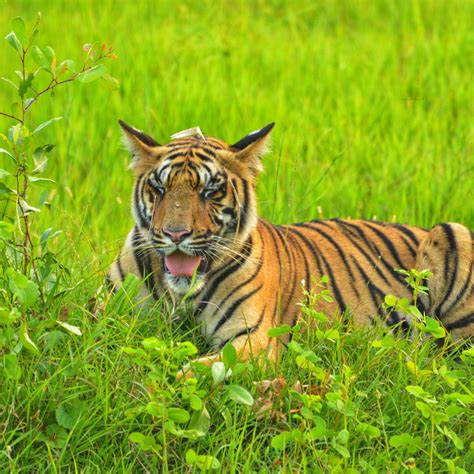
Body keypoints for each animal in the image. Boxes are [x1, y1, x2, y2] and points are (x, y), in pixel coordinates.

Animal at [108, 120, 474, 368]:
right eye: (159, 189)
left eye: (210, 192)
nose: (175, 235)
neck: (180, 293)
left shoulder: (254, 339)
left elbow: (194, 371)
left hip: (453, 232)